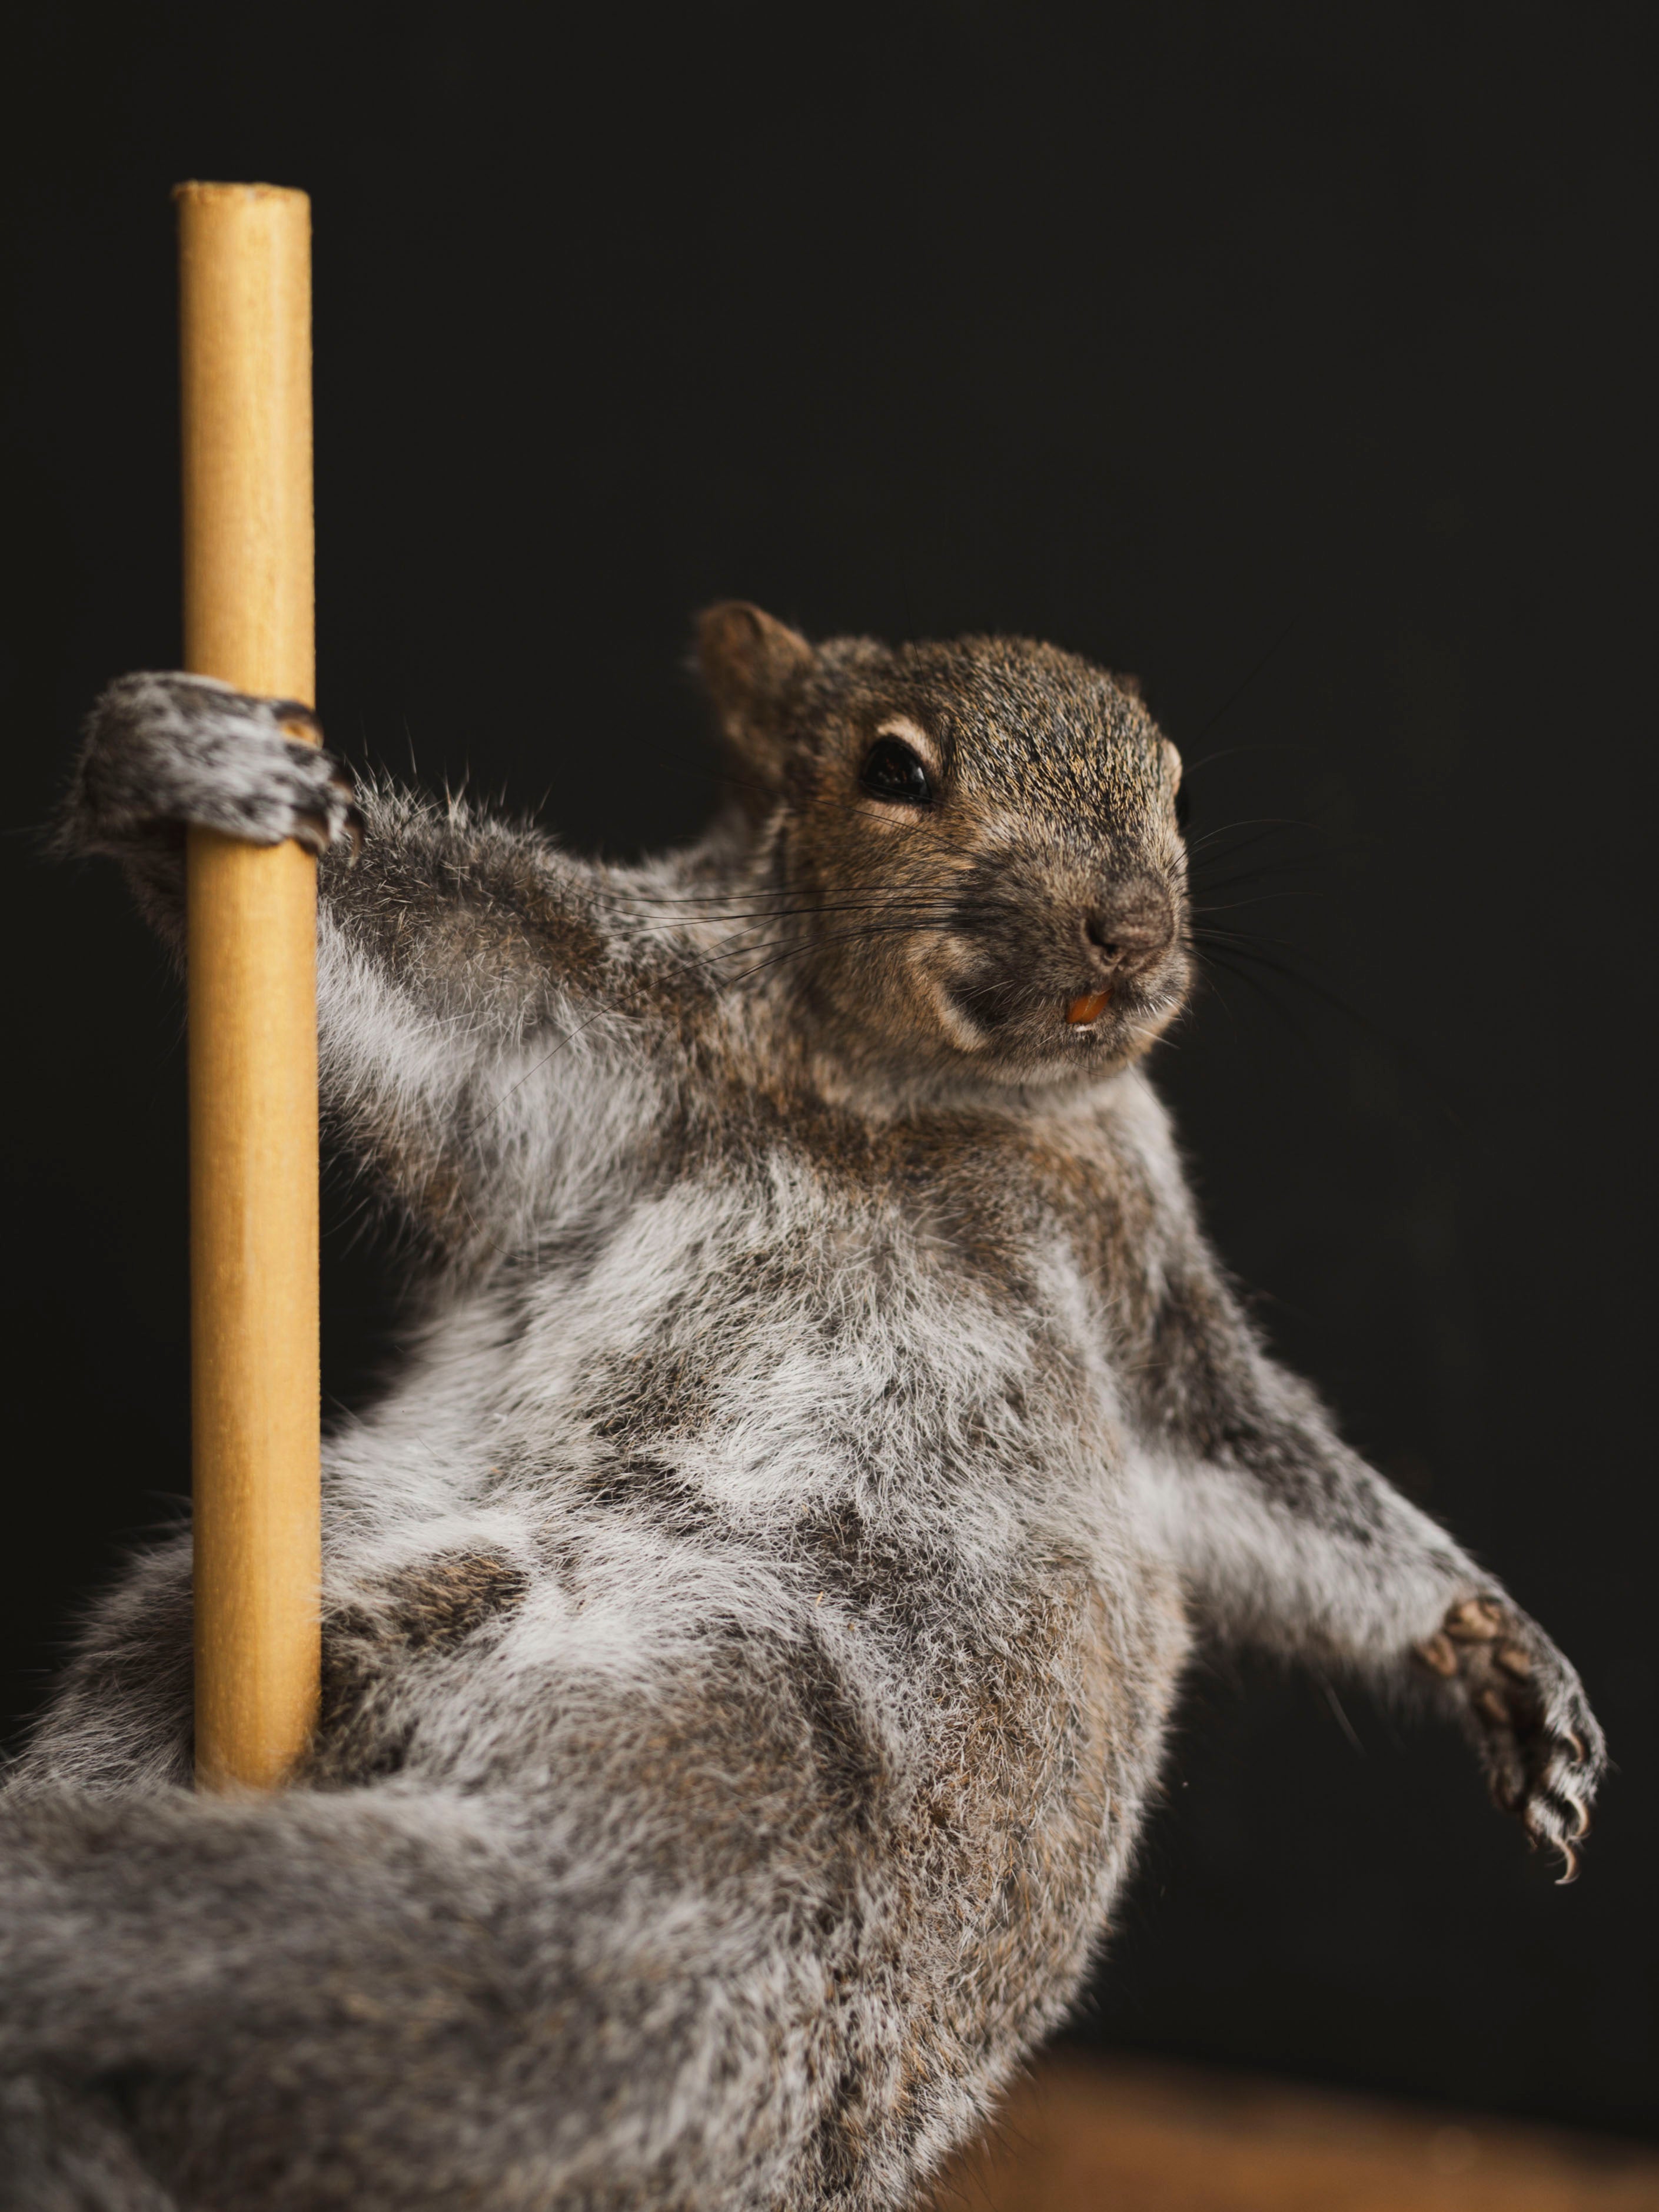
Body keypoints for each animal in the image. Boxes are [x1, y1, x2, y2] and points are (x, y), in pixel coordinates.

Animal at [0, 604, 1604, 2211]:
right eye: (892, 770)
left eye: (1180, 791)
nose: (1131, 931)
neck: (895, 1092)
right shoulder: (593, 1022)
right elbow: (420, 958)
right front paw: (172, 762)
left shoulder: (1132, 1275)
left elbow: (1244, 1461)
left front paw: (1489, 1647)